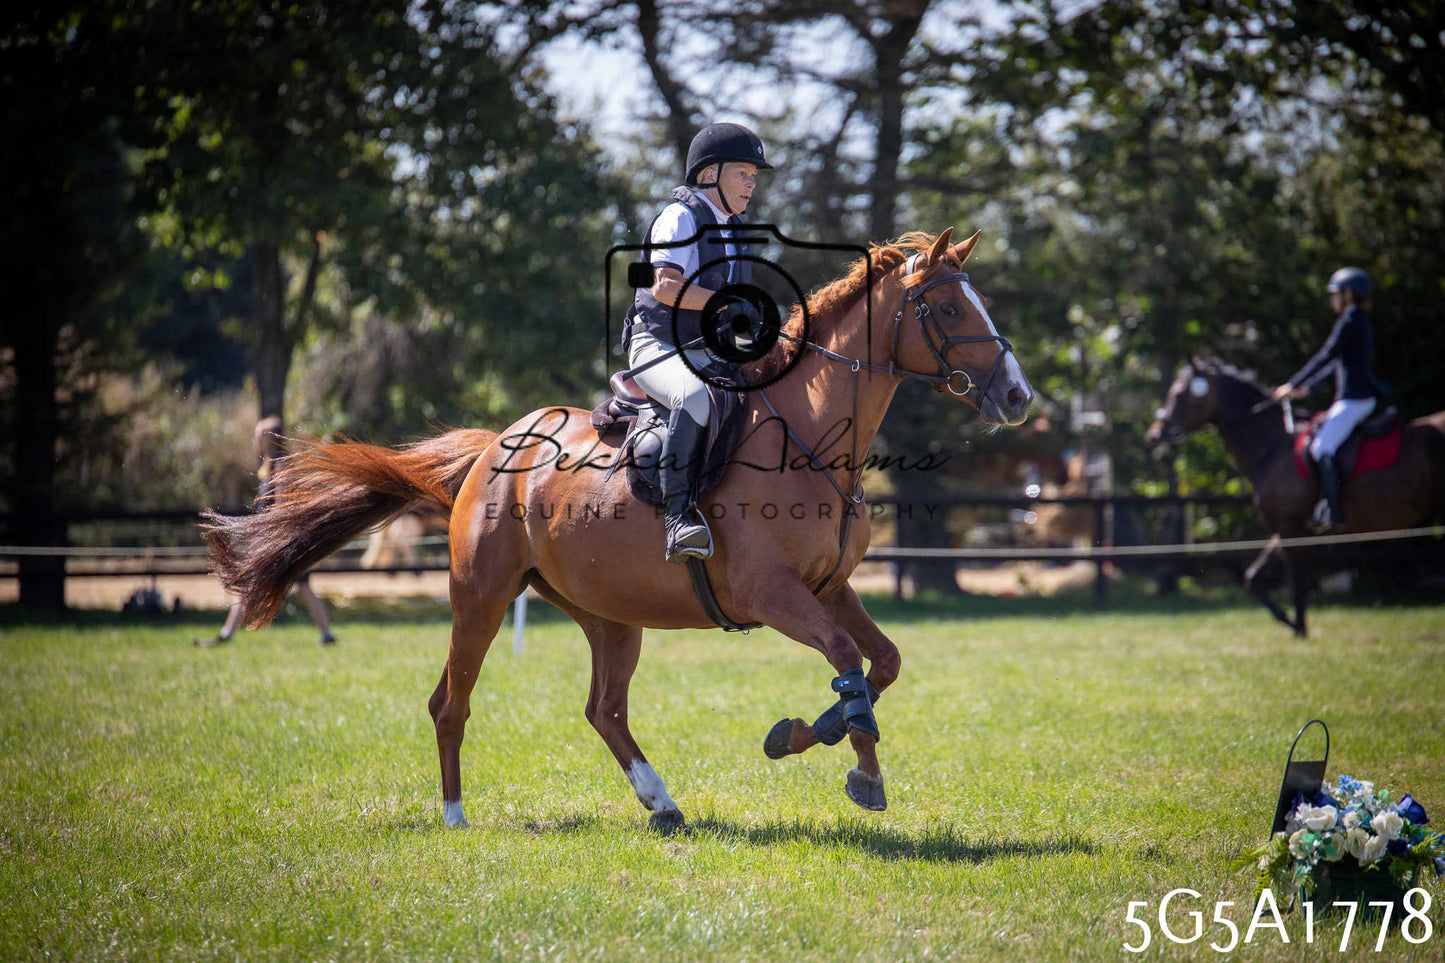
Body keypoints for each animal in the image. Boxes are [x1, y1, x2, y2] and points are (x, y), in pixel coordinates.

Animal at [204, 228, 1035, 831]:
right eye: (949, 311)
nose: (1018, 396)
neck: (810, 436)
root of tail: (493, 447)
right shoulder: (771, 593)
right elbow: (847, 663)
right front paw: (861, 772)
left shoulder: (828, 586)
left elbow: (877, 664)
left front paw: (799, 734)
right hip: (481, 597)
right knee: (450, 703)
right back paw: (455, 816)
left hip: (608, 614)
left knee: (604, 708)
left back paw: (661, 802)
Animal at [1145, 357, 1445, 637]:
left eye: (1179, 394)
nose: (1154, 435)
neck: (1272, 444)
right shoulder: (1290, 526)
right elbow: (1254, 577)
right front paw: (1290, 621)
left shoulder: (1291, 525)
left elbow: (1297, 581)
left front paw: (1299, 629)